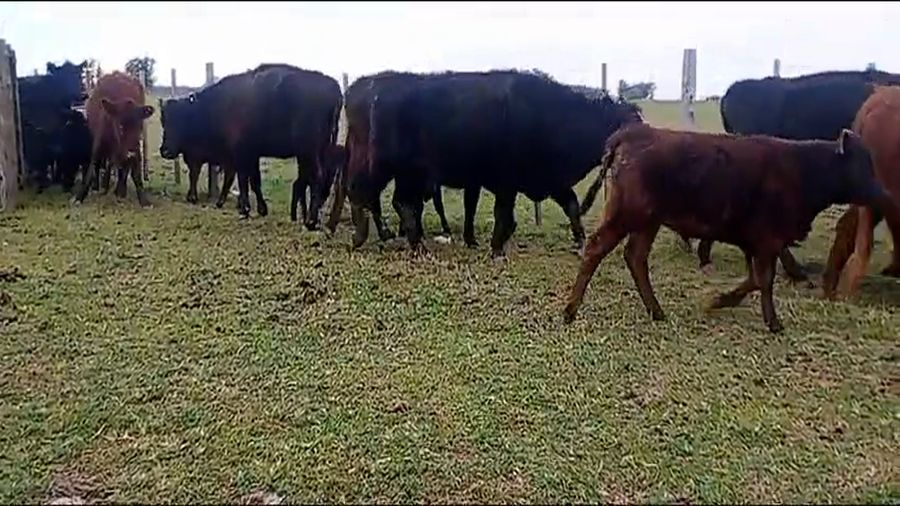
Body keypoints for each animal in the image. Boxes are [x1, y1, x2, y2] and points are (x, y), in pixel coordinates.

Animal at [75, 71, 154, 207]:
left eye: (139, 126)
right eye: (121, 125)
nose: (130, 152)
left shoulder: (136, 148)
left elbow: (135, 172)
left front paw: (144, 200)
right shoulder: (98, 144)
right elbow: (92, 167)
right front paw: (80, 196)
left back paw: (120, 190)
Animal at [158, 64, 343, 226]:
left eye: (181, 118)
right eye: (163, 121)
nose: (165, 151)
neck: (216, 106)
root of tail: (334, 87)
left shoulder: (240, 155)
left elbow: (242, 180)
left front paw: (244, 209)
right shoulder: (251, 155)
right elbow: (254, 181)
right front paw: (261, 209)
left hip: (309, 152)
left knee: (317, 177)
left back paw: (311, 221)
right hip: (320, 150)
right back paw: (312, 219)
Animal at [343, 70, 644, 257]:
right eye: (628, 123)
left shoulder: (550, 179)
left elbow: (571, 206)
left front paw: (580, 242)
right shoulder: (507, 181)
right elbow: (503, 214)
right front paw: (497, 247)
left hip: (404, 173)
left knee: (387, 200)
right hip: (395, 169)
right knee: (374, 196)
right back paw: (395, 242)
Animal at [564, 123, 900, 333]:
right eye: (861, 165)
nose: (883, 194)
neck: (802, 169)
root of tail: (633, 133)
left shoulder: (757, 242)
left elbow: (754, 279)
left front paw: (720, 300)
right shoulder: (768, 240)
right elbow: (764, 280)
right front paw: (772, 322)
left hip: (648, 221)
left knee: (635, 257)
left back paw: (656, 311)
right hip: (626, 214)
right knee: (596, 248)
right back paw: (570, 311)